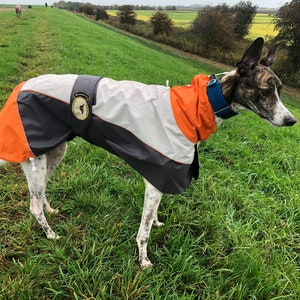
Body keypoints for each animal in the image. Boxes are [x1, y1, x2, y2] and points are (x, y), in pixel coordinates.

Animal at [0, 37, 296, 268]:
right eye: (265, 91)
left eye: (280, 91)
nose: (291, 120)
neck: (198, 105)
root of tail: (20, 88)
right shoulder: (156, 179)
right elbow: (143, 232)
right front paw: (143, 260)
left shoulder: (160, 176)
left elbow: (152, 217)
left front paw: (156, 224)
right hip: (35, 157)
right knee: (33, 205)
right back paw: (50, 234)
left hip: (55, 151)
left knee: (41, 194)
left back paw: (51, 211)